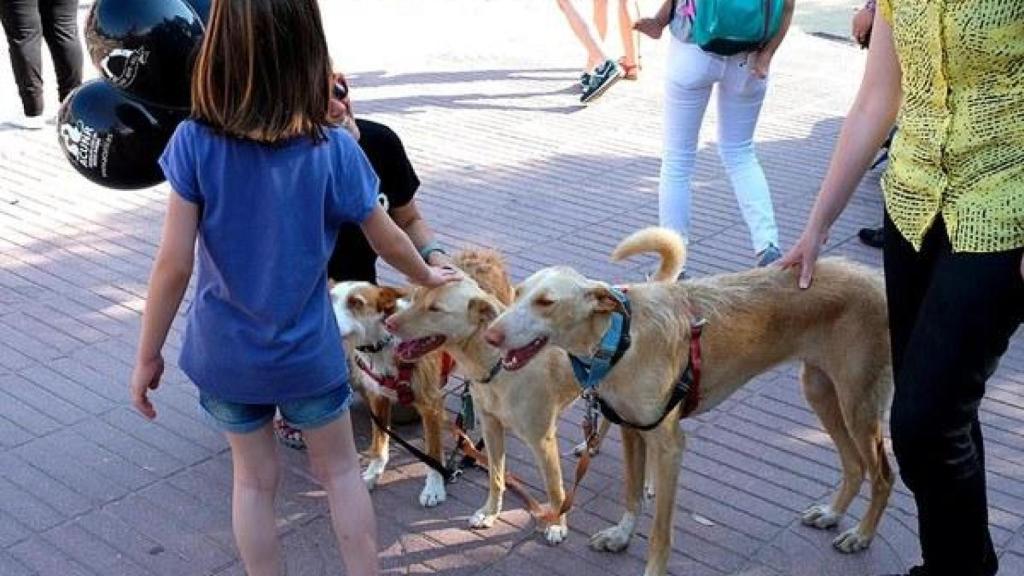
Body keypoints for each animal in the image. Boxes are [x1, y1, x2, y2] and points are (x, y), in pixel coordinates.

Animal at [331, 282, 452, 506]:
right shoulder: (378, 398)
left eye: (356, 302)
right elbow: (378, 445)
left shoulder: (430, 404)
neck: (382, 346)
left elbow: (433, 453)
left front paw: (434, 488)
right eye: (330, 299)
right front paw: (373, 474)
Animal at [382, 249, 581, 541]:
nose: (388, 323)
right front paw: (490, 513)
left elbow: (556, 491)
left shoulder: (543, 441)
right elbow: (496, 477)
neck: (495, 364)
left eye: (435, 309)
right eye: (416, 297)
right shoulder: (491, 426)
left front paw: (557, 524)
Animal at [483, 227, 892, 573]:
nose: (490, 335)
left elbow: (660, 532)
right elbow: (632, 495)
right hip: (820, 390)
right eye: (517, 293)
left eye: (546, 302)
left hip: (858, 404)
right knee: (855, 465)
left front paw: (652, 568)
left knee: (883, 475)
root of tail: (876, 279)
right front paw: (621, 535)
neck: (621, 338)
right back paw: (832, 514)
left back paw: (861, 535)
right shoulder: (632, 430)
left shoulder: (670, 447)